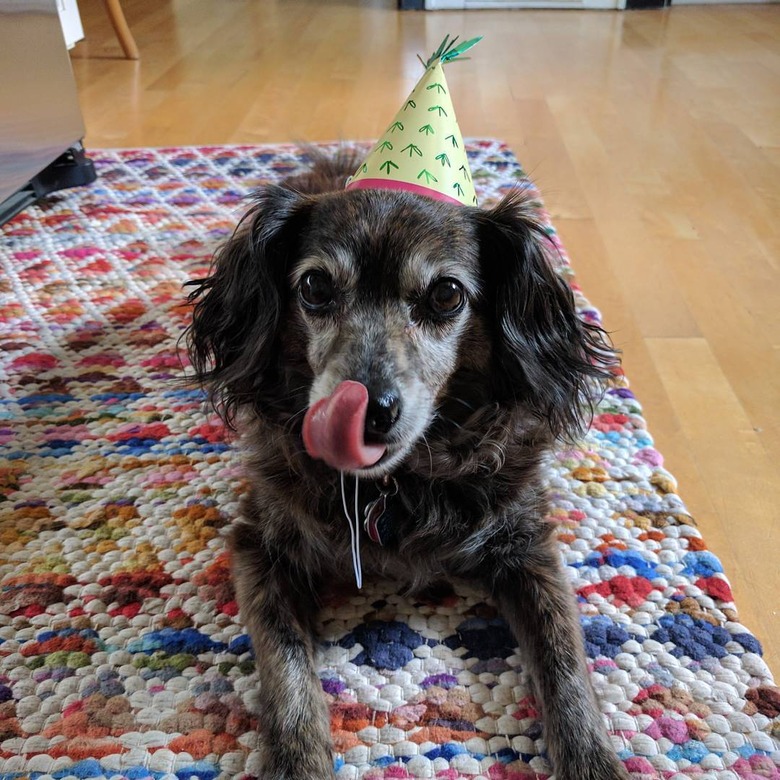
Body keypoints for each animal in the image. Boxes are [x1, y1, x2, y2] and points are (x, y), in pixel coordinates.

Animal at [186, 149, 632, 776]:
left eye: (446, 295)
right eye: (315, 285)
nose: (367, 412)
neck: (395, 488)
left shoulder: (528, 544)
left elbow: (564, 661)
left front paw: (594, 759)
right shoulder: (260, 545)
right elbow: (286, 665)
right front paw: (297, 762)